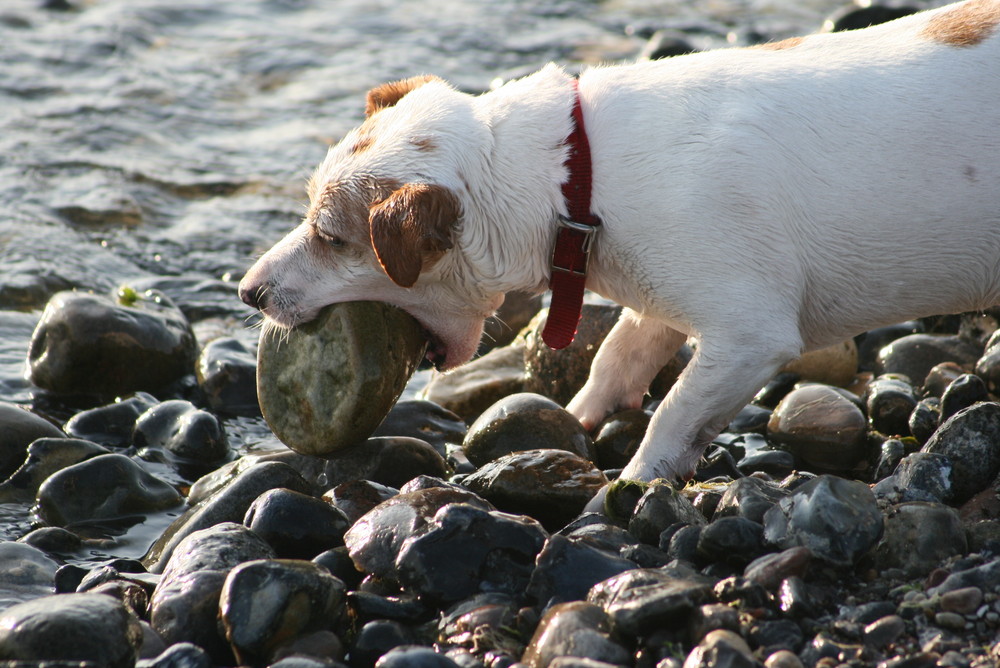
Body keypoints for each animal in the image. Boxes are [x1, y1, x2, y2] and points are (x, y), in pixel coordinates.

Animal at [240, 0, 1000, 500]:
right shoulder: (661, 302)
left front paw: (637, 482)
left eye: (332, 237)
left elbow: (675, 409)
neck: (576, 177)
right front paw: (578, 419)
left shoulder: (750, 334)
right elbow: (619, 355)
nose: (246, 292)